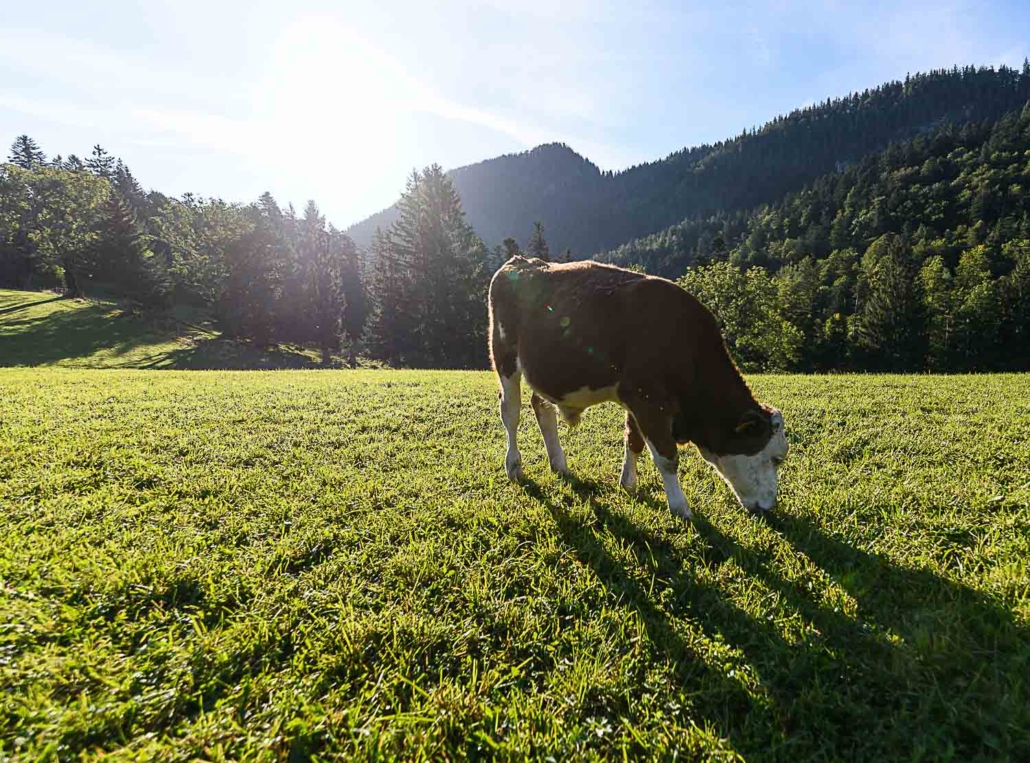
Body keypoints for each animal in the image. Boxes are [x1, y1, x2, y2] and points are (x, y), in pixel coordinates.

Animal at [490, 256, 786, 516]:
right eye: (776, 458)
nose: (770, 507)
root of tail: (520, 262)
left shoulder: (636, 398)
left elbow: (633, 440)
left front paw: (628, 484)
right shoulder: (649, 402)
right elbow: (667, 456)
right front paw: (680, 507)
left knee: (542, 407)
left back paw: (559, 464)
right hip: (504, 356)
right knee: (511, 412)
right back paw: (513, 465)